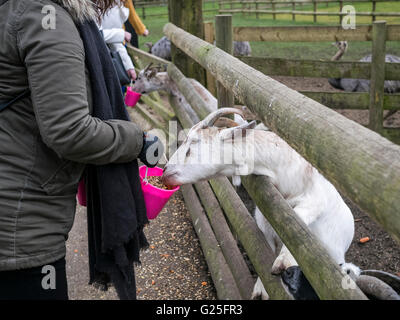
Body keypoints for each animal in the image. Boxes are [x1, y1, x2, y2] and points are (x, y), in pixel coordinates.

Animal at [162, 109, 360, 298]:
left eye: (193, 143)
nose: (165, 172)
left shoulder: (316, 200)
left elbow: (297, 224)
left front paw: (284, 261)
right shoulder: (265, 225)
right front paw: (260, 289)